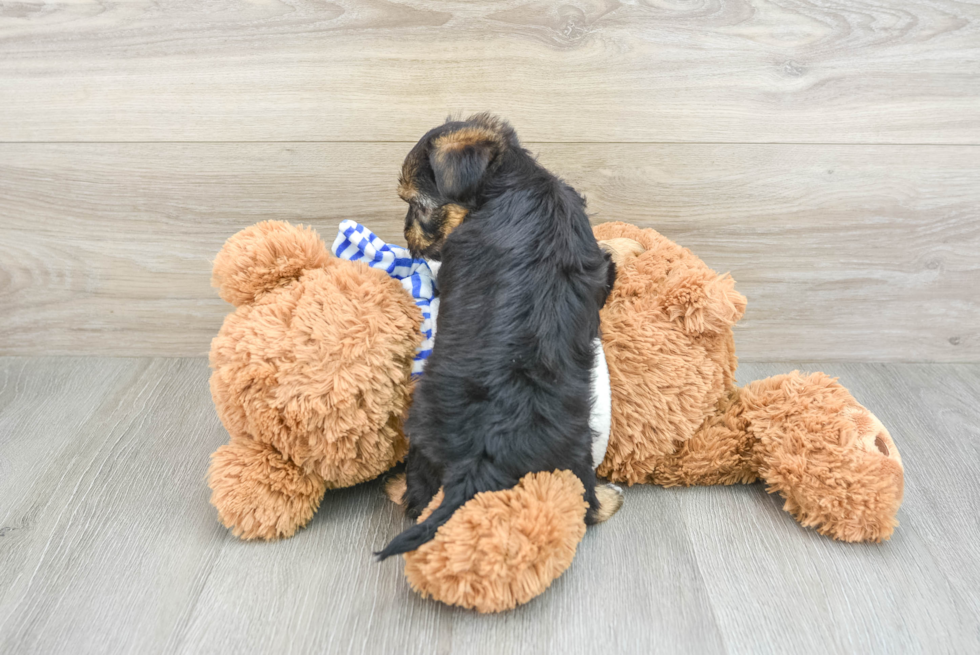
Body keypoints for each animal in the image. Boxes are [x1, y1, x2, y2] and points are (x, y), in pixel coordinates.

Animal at [378, 115, 620, 560]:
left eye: (417, 207)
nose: (406, 237)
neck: (513, 182)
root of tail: (488, 449)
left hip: (423, 437)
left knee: (419, 498)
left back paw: (397, 486)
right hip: (572, 446)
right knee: (585, 503)